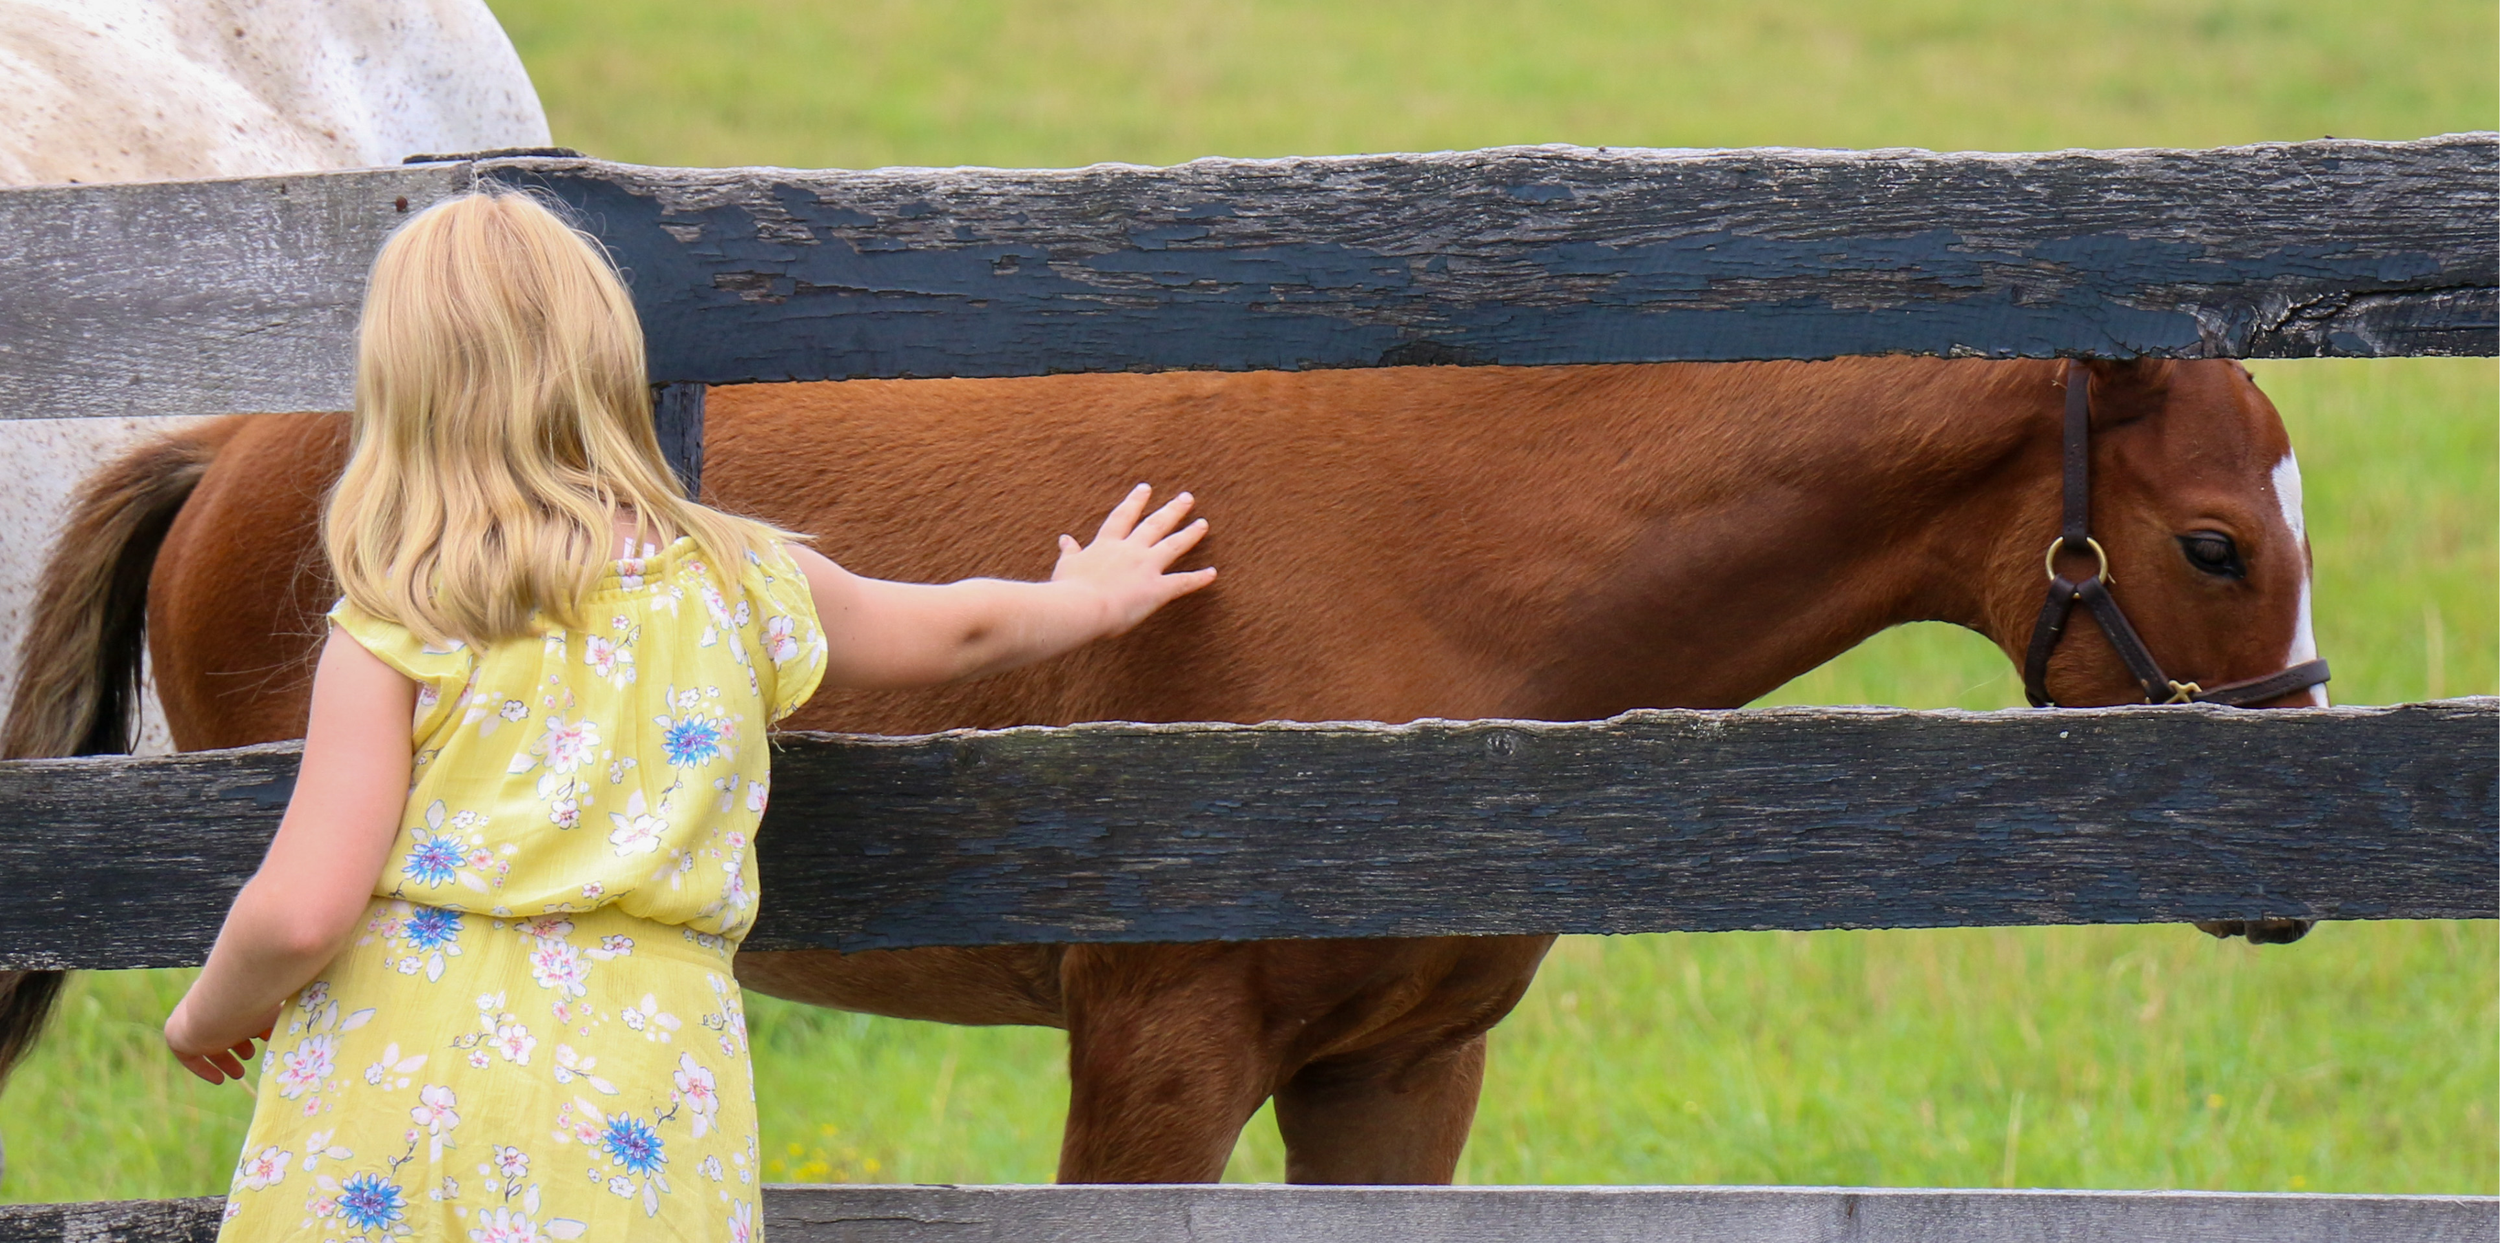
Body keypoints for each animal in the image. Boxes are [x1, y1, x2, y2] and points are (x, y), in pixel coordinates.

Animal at [0, 355, 2324, 1183]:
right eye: (2215, 542)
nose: (2297, 855)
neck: (1442, 563)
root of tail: (240, 439)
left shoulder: (1401, 1071)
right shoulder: (1160, 1050)